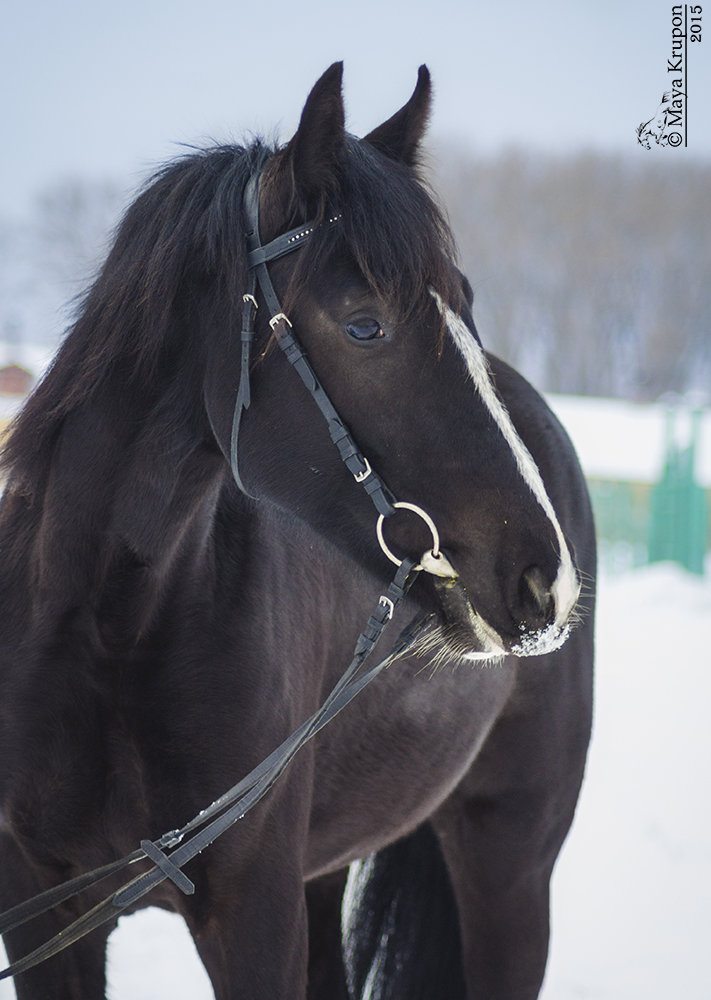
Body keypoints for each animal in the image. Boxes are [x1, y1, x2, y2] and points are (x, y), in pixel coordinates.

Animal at [0, 64, 596, 1000]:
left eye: (464, 304)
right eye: (364, 324)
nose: (546, 580)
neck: (109, 626)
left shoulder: (255, 917)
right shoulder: (40, 911)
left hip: (509, 865)